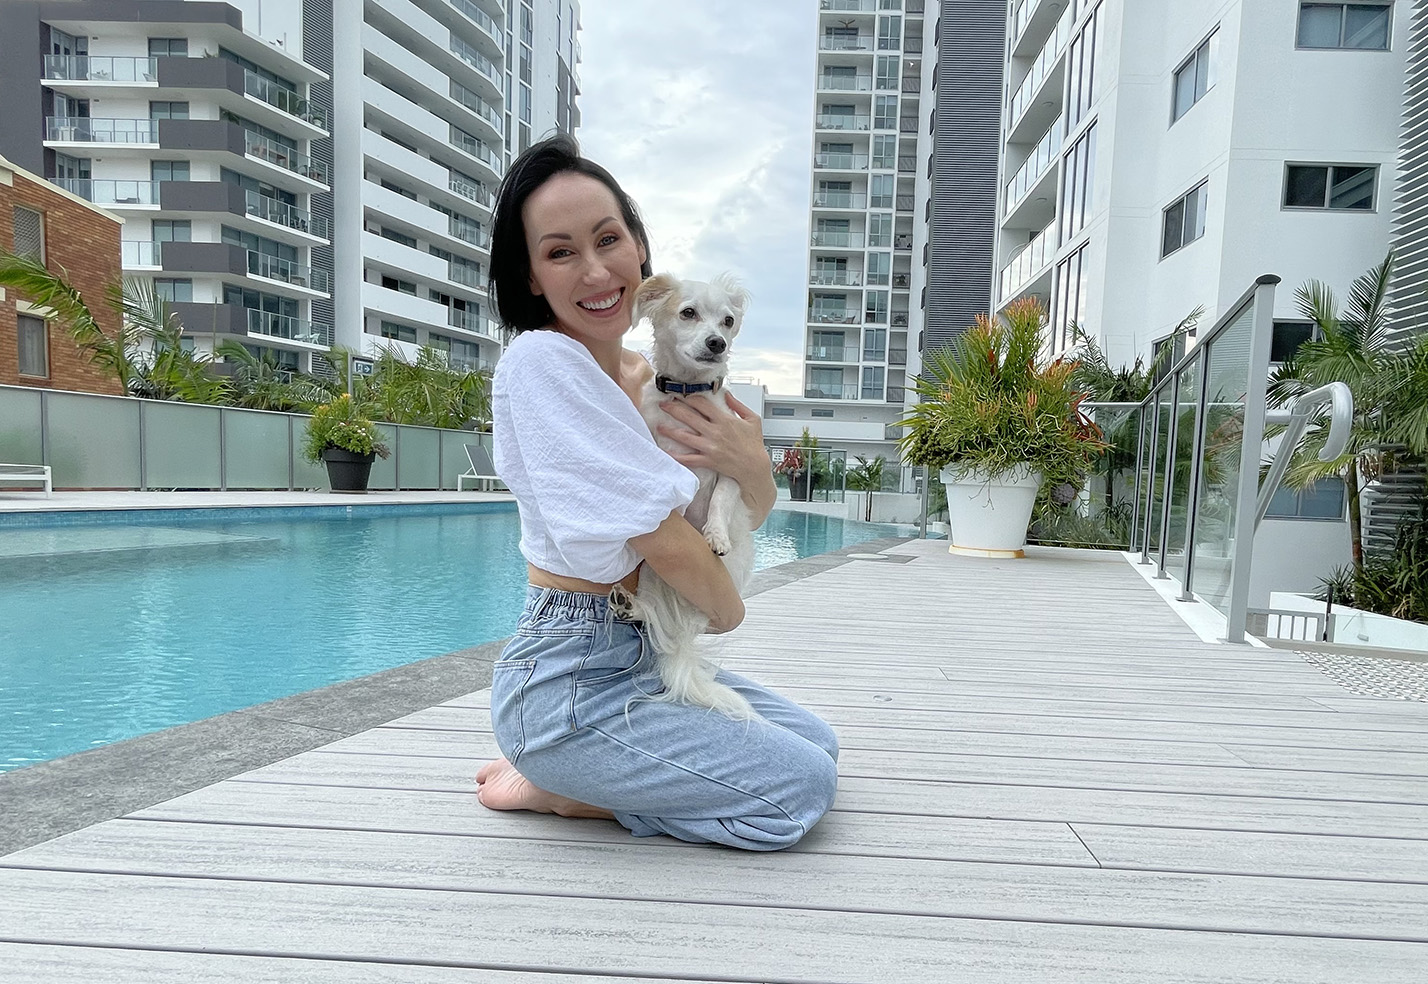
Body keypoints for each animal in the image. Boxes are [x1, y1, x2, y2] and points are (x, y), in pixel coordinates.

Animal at [612, 272, 758, 720]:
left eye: (728, 321)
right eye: (688, 313)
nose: (717, 343)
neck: (687, 390)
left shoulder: (730, 463)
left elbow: (720, 500)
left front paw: (715, 535)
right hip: (650, 574)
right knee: (652, 614)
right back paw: (631, 606)